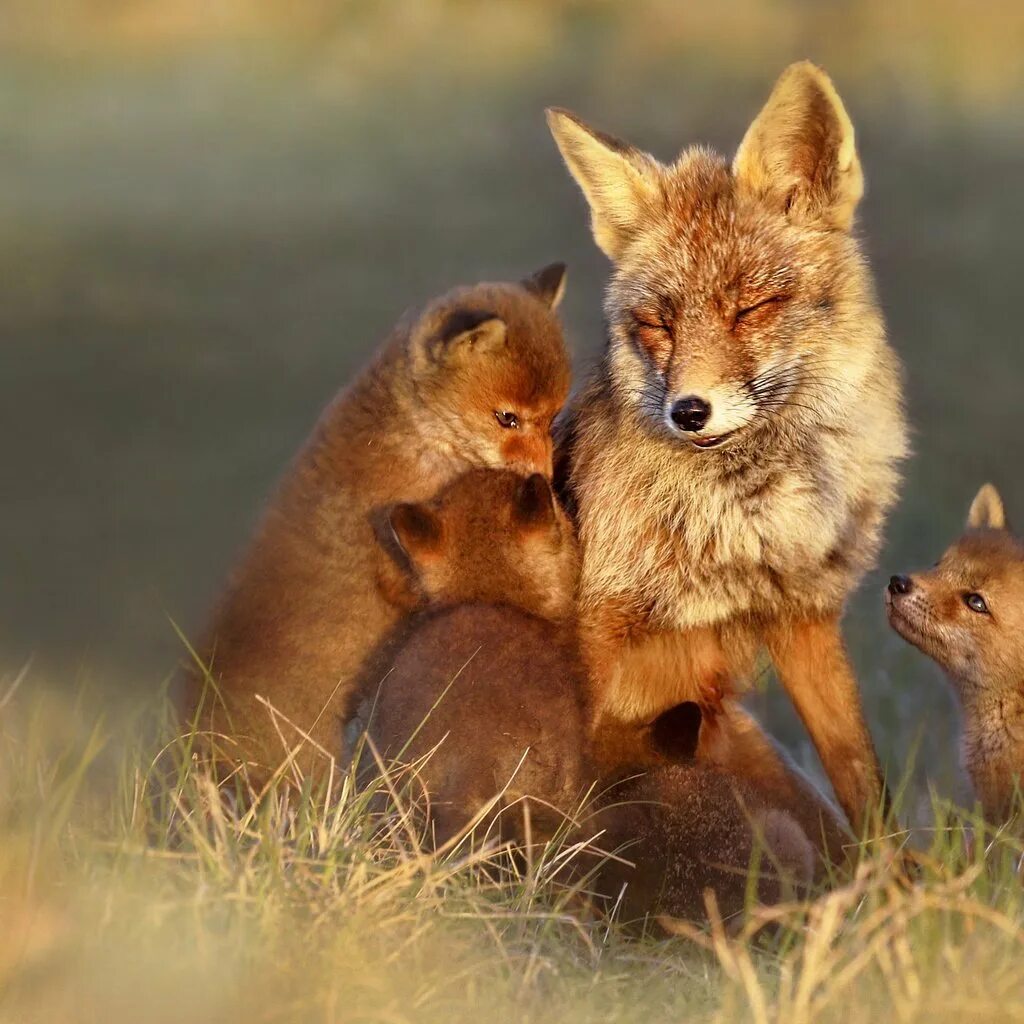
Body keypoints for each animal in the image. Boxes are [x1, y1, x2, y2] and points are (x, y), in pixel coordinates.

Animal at [548, 61, 909, 831]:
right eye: (657, 323)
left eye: (751, 308)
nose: (688, 411)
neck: (739, 524)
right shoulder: (597, 624)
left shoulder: (803, 616)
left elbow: (863, 781)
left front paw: (891, 868)